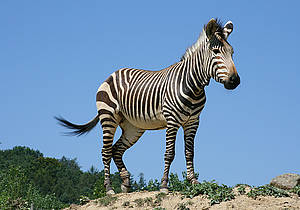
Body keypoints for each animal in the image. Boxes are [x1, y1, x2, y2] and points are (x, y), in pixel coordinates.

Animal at [55, 18, 239, 195]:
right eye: (216, 52)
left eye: (232, 52)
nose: (235, 81)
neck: (193, 86)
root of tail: (112, 74)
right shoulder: (172, 121)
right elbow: (169, 153)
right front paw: (164, 185)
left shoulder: (193, 122)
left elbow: (190, 152)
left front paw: (193, 182)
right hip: (108, 117)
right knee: (106, 152)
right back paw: (109, 189)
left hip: (133, 127)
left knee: (116, 149)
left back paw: (125, 183)